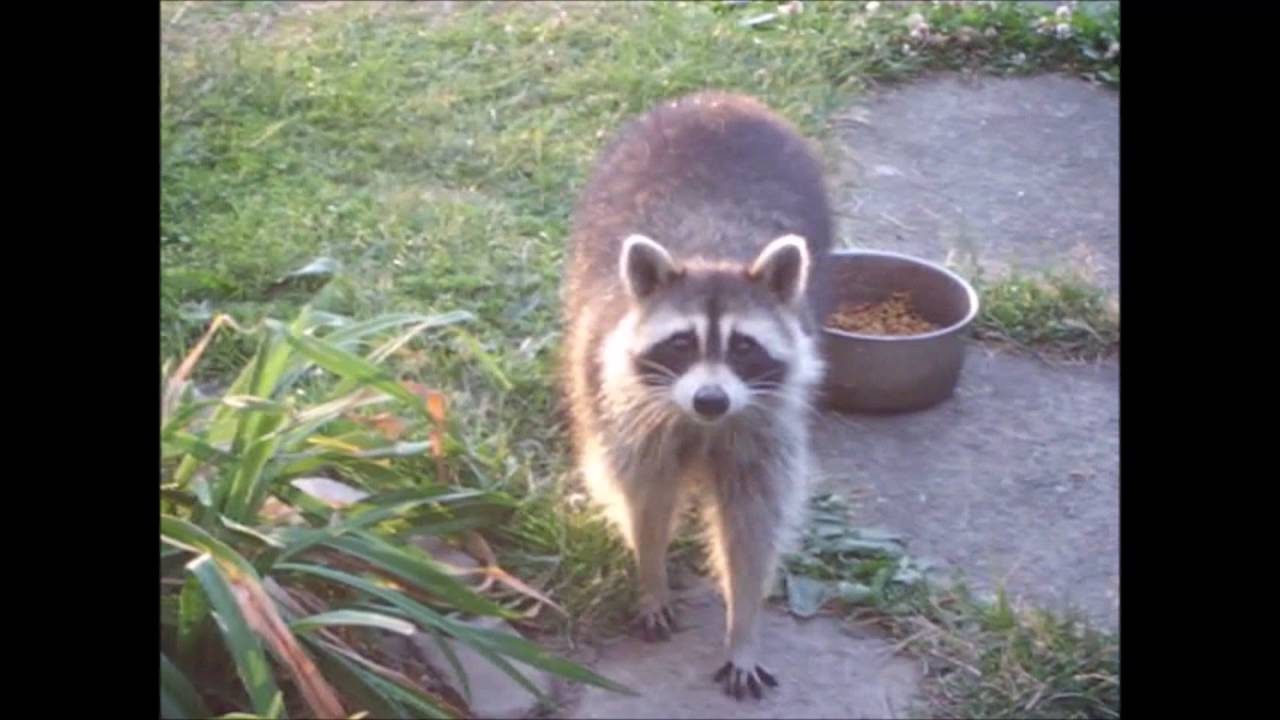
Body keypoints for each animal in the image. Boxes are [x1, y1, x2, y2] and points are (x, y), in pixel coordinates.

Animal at [560, 91, 833, 700]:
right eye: (682, 343)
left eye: (744, 347)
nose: (711, 400)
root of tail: (721, 99)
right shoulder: (625, 406)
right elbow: (644, 498)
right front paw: (651, 577)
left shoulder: (767, 426)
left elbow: (753, 524)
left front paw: (744, 627)